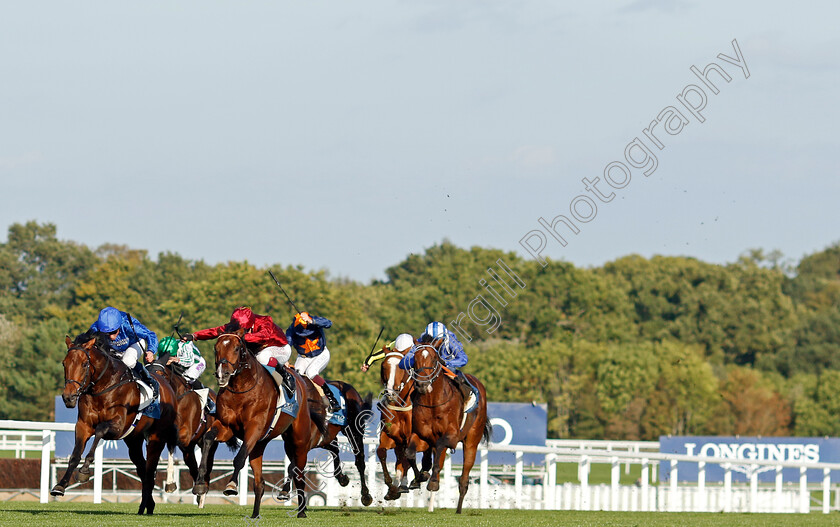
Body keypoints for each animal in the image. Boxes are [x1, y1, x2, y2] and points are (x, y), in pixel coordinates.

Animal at [53, 334, 179, 516]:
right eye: (65, 363)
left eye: (84, 364)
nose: (68, 397)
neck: (103, 387)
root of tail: (168, 388)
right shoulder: (83, 425)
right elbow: (75, 455)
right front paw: (59, 486)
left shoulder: (118, 426)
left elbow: (99, 431)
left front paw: (84, 471)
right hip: (134, 441)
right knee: (143, 469)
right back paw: (146, 505)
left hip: (156, 438)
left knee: (150, 470)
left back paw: (146, 506)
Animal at [149, 360, 218, 506]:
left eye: (159, 372)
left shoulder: (185, 435)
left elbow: (171, 441)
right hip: (189, 448)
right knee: (192, 465)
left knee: (207, 458)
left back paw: (202, 488)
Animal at [191, 330, 324, 520]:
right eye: (216, 348)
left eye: (237, 348)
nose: (222, 374)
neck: (241, 389)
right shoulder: (226, 426)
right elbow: (208, 439)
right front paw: (200, 484)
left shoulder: (254, 428)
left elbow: (239, 458)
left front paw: (231, 485)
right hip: (260, 445)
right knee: (260, 482)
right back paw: (255, 514)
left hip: (299, 440)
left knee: (298, 470)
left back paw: (301, 510)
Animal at [406, 344, 492, 512]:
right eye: (414, 359)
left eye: (434, 359)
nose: (422, 385)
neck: (433, 402)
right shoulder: (420, 435)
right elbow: (410, 453)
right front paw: (419, 478)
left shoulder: (451, 436)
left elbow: (439, 448)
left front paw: (432, 482)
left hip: (472, 441)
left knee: (464, 478)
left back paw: (458, 509)